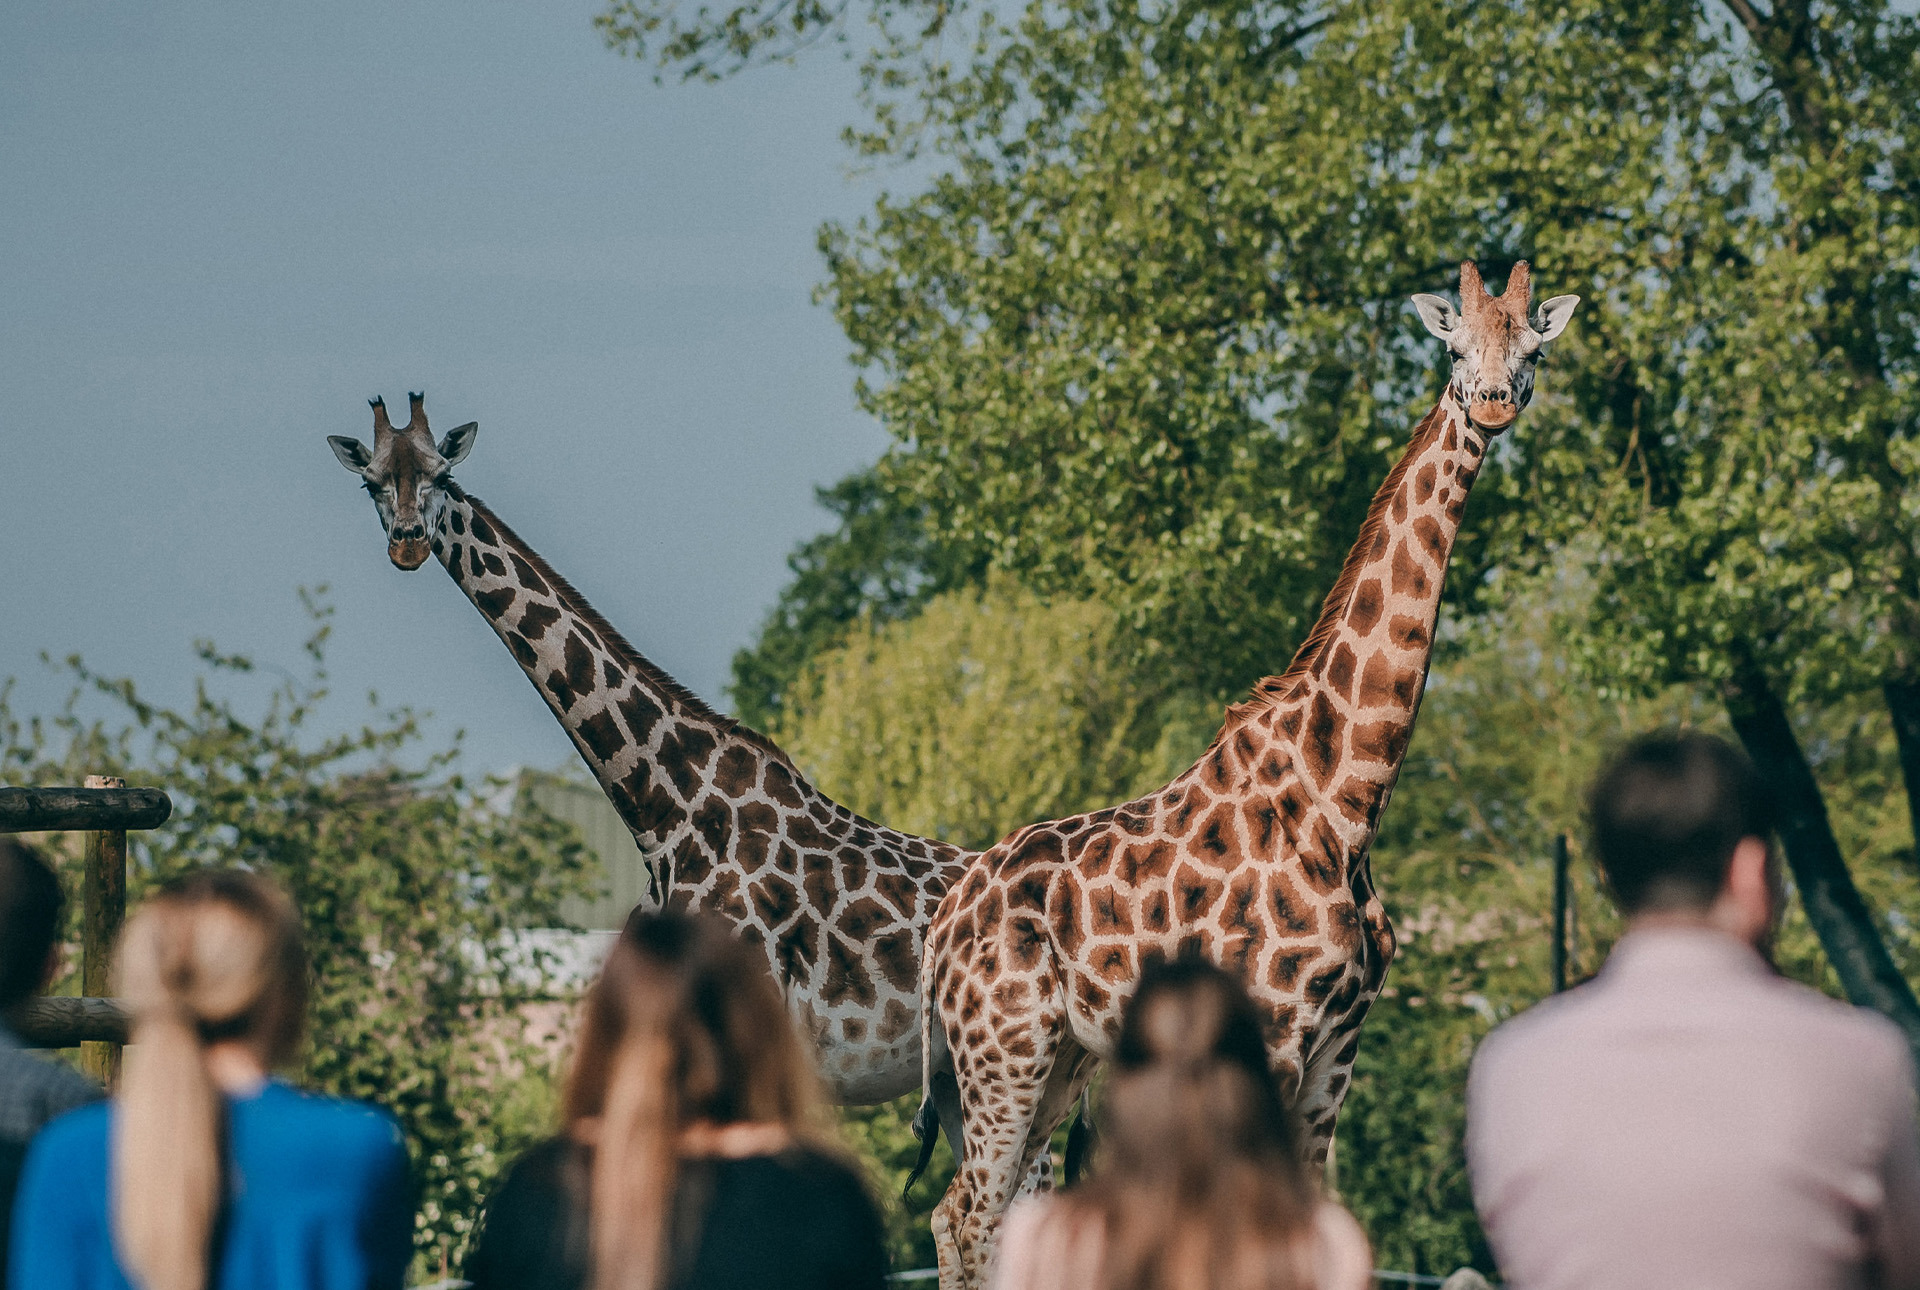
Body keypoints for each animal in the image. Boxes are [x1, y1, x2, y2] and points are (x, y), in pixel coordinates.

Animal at [917, 262, 1580, 1287]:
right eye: (1456, 347)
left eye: (1533, 349)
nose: (1496, 402)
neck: (1347, 798)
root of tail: (943, 928)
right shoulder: (1272, 1031)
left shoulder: (1339, 1045)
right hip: (1004, 1046)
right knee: (967, 1214)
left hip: (1060, 1057)